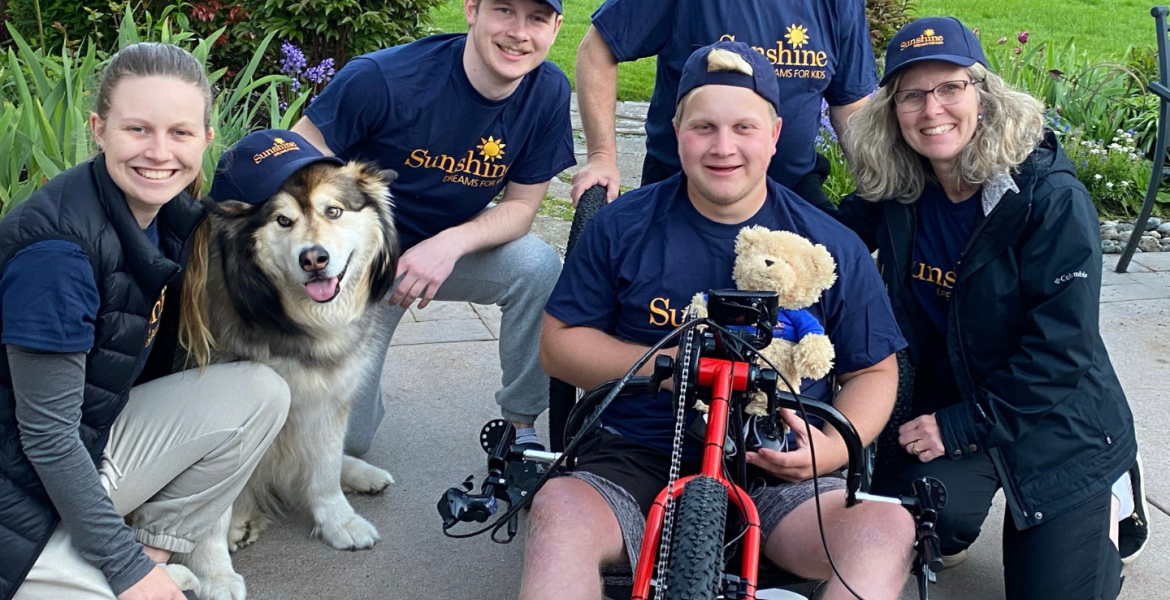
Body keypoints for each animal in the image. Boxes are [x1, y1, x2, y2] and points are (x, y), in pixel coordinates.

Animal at [180, 129, 400, 598]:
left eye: (333, 211)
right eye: (283, 221)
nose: (314, 258)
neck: (287, 318)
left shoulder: (328, 396)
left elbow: (324, 469)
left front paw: (340, 522)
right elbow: (208, 517)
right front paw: (214, 575)